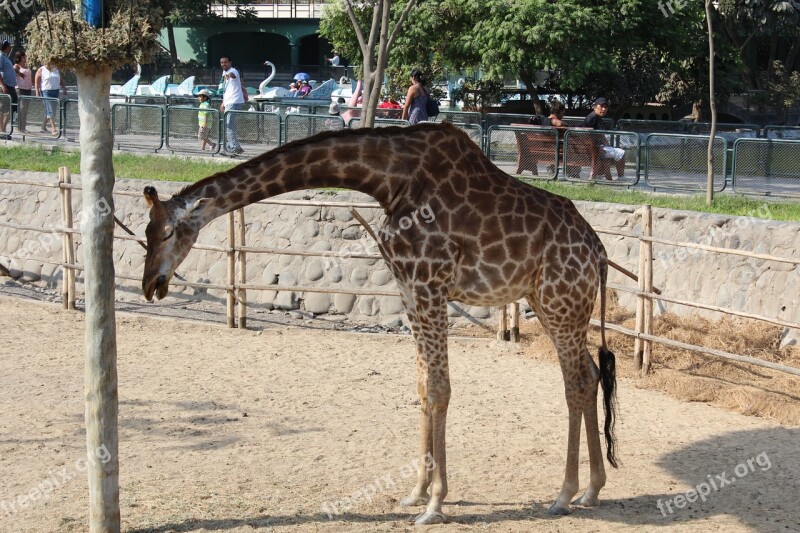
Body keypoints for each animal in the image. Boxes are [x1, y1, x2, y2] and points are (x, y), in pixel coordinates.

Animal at [142, 121, 620, 524]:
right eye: (146, 234)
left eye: (167, 232)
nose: (151, 284)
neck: (388, 181)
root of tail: (598, 250)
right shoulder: (408, 288)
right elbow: (423, 387)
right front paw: (416, 492)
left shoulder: (430, 284)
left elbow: (440, 389)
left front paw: (435, 504)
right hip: (550, 302)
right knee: (590, 374)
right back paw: (592, 489)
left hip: (560, 301)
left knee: (576, 381)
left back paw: (564, 494)